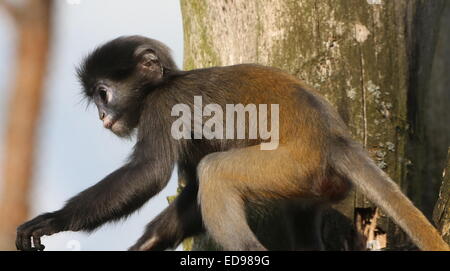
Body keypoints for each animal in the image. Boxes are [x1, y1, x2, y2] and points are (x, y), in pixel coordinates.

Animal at [14, 36, 450, 253]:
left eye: (103, 94)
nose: (102, 116)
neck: (166, 82)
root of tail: (332, 135)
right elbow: (188, 194)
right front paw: (146, 245)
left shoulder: (162, 107)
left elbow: (148, 175)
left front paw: (52, 220)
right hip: (308, 181)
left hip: (291, 164)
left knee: (217, 172)